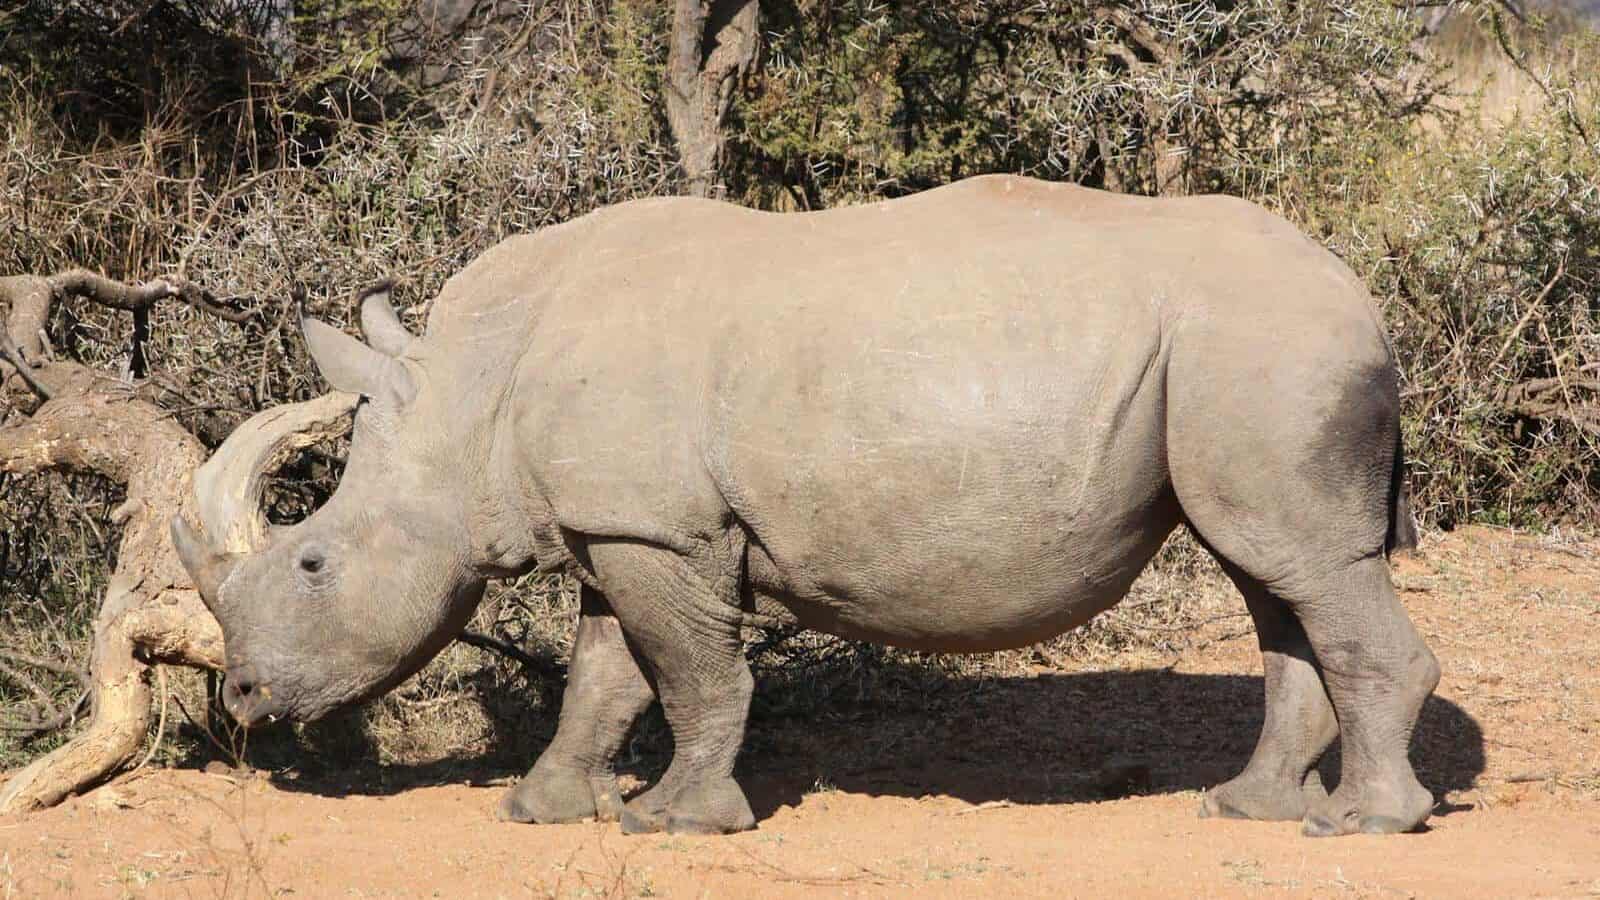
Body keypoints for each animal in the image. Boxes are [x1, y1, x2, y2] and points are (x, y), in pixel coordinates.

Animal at [171, 175, 1439, 838]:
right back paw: (1248, 810)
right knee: (1271, 575)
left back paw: (1363, 826)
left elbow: (692, 674)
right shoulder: (618, 522)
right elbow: (604, 675)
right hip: (1237, 360)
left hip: (1270, 347)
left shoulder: (659, 529)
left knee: (1304, 569)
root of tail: (1358, 292)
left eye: (312, 566)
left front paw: (673, 823)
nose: (242, 701)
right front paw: (543, 811)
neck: (467, 395)